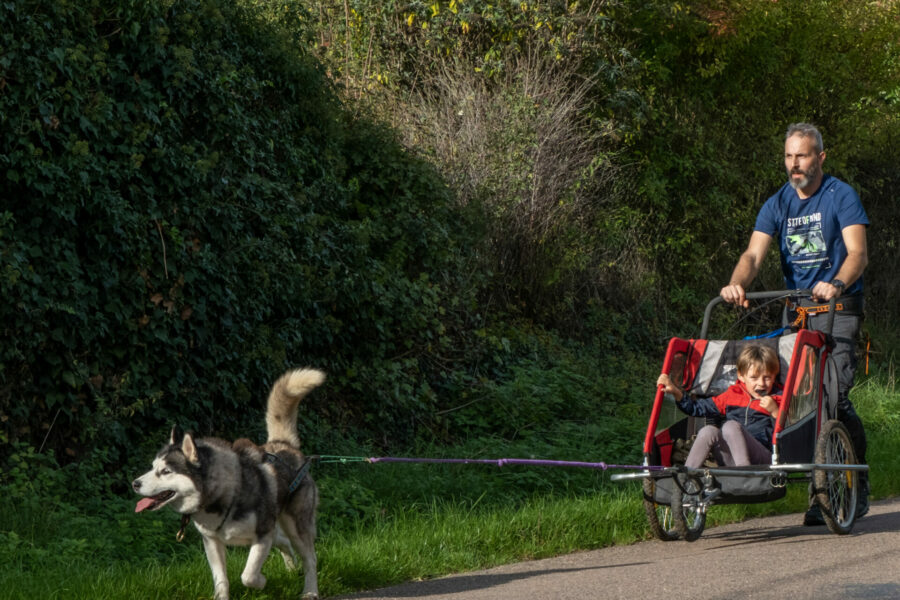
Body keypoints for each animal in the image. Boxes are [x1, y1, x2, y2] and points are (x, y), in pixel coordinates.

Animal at [134, 368, 324, 596]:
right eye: (153, 467)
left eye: (165, 471)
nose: (135, 483)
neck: (227, 495)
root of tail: (283, 444)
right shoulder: (212, 542)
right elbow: (221, 580)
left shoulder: (262, 535)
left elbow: (248, 575)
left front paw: (261, 582)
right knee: (284, 542)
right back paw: (291, 569)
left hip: (296, 525)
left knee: (310, 559)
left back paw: (310, 591)